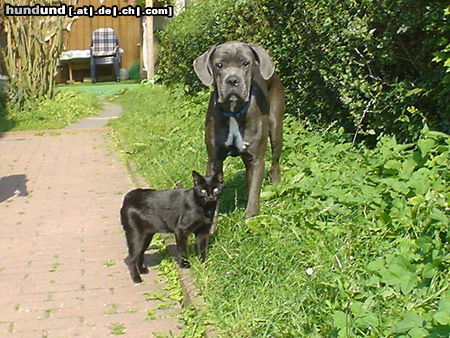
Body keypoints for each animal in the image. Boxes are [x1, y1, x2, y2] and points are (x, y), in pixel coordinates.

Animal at [193, 42, 284, 218]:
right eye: (219, 65)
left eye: (245, 63)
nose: (233, 80)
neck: (233, 111)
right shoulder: (214, 160)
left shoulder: (257, 159)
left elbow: (254, 195)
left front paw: (250, 218)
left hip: (276, 127)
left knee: (275, 162)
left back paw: (276, 185)